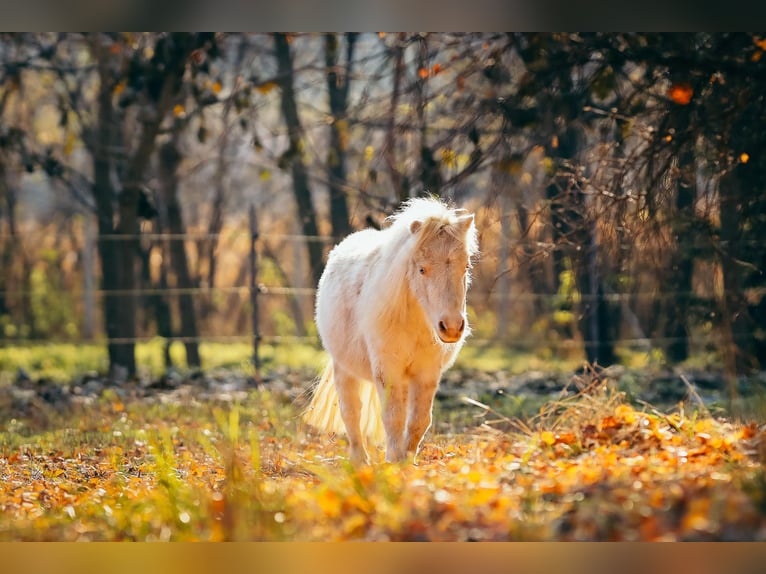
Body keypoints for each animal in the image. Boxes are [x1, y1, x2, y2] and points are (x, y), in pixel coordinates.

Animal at [306, 197, 480, 464]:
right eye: (422, 269)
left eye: (466, 267)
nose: (451, 327)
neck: (415, 324)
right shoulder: (388, 371)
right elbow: (393, 417)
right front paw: (394, 463)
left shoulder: (426, 374)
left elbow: (418, 421)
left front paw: (406, 462)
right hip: (344, 369)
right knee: (351, 413)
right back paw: (360, 461)